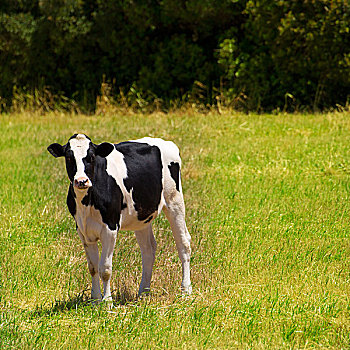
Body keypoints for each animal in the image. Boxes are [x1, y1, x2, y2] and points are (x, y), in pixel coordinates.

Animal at [46, 134, 191, 304]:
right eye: (69, 157)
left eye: (92, 156)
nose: (81, 181)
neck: (86, 203)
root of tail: (165, 142)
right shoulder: (83, 230)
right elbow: (93, 267)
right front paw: (95, 300)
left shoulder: (110, 228)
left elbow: (105, 268)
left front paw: (107, 302)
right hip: (141, 216)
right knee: (148, 250)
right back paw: (143, 292)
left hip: (174, 201)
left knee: (184, 244)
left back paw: (186, 290)